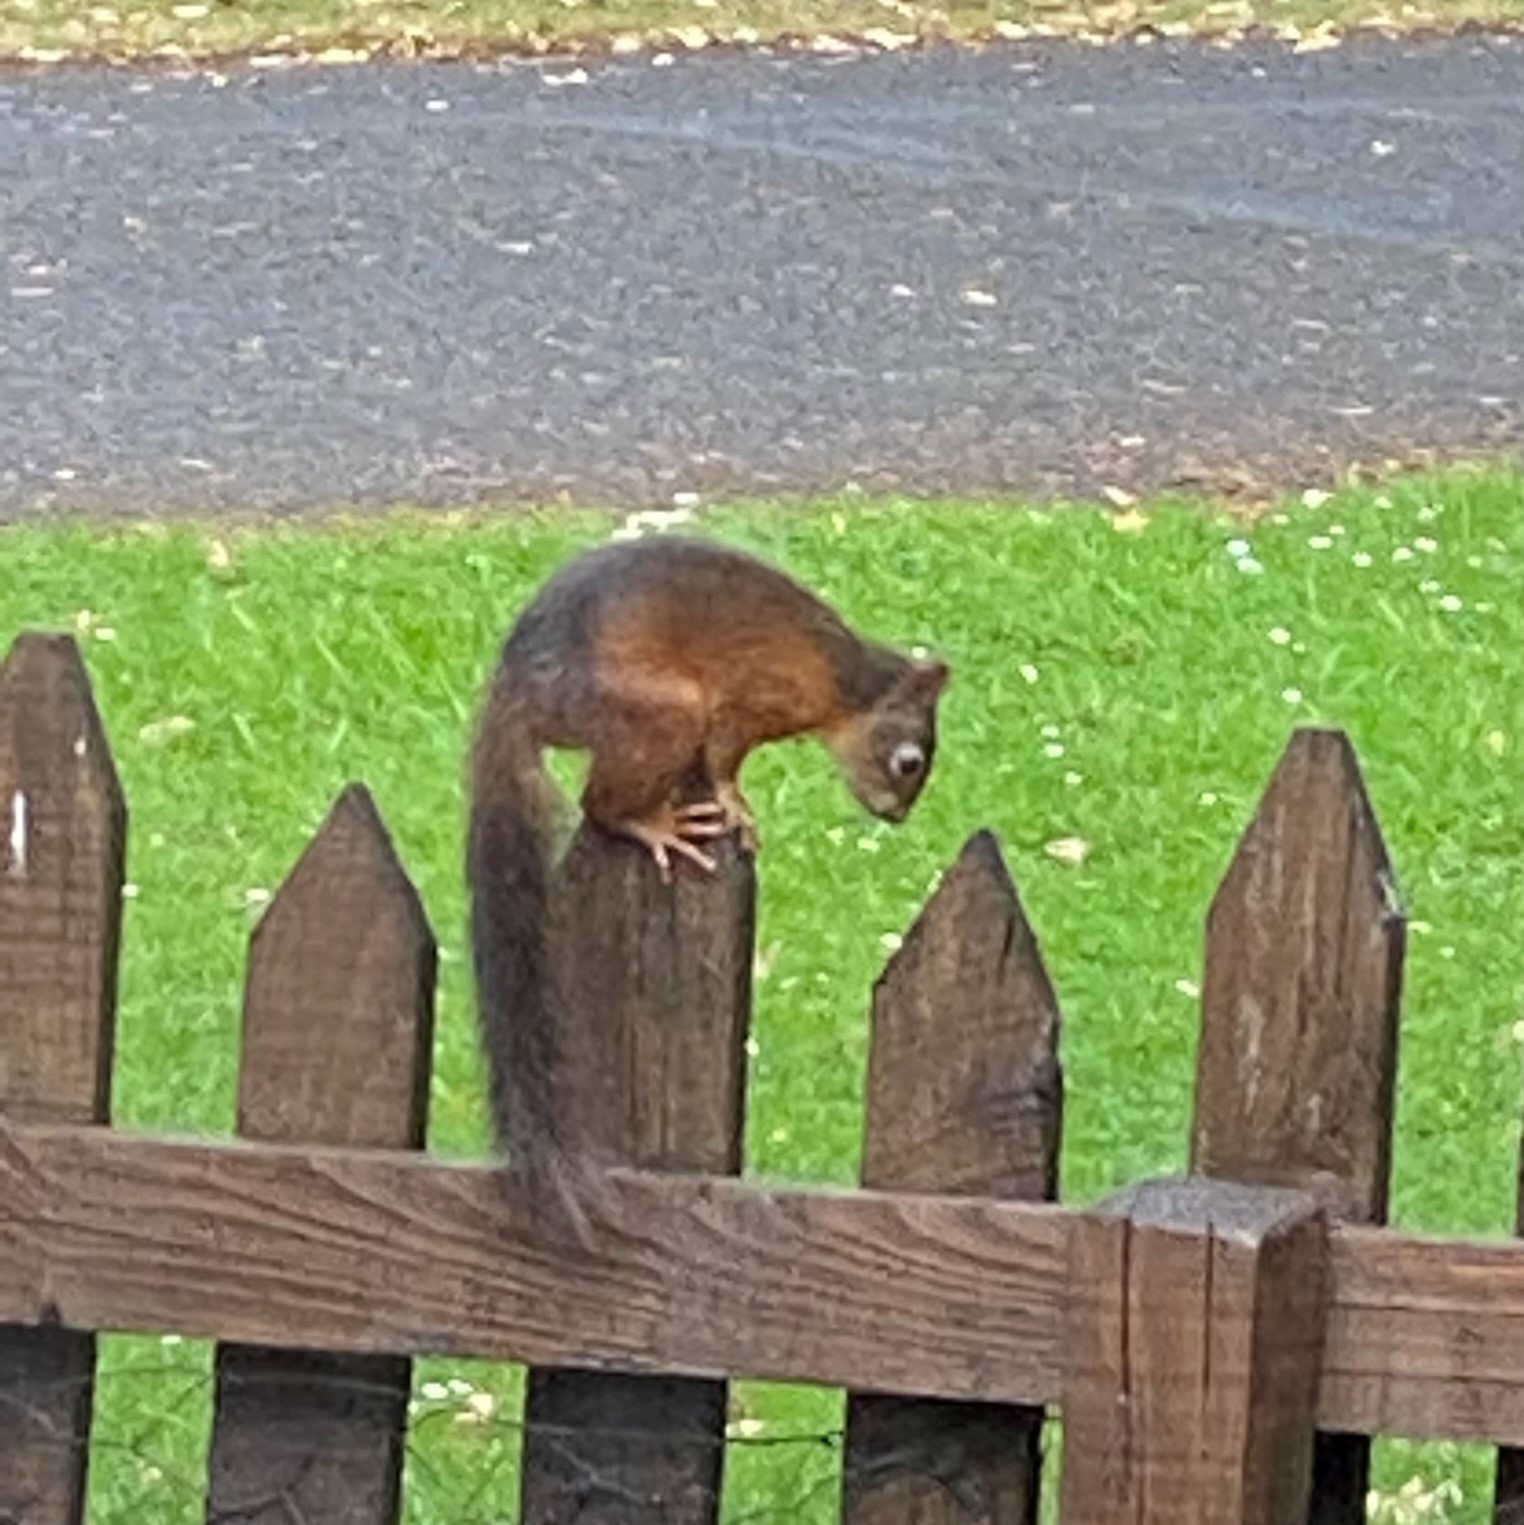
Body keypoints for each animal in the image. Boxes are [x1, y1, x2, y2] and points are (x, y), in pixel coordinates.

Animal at [466, 534, 949, 1216]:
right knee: (599, 803)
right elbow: (723, 759)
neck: (841, 684)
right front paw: (734, 804)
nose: (899, 816)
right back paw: (652, 825)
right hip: (663, 709)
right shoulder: (750, 699)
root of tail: (518, 694)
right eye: (909, 761)